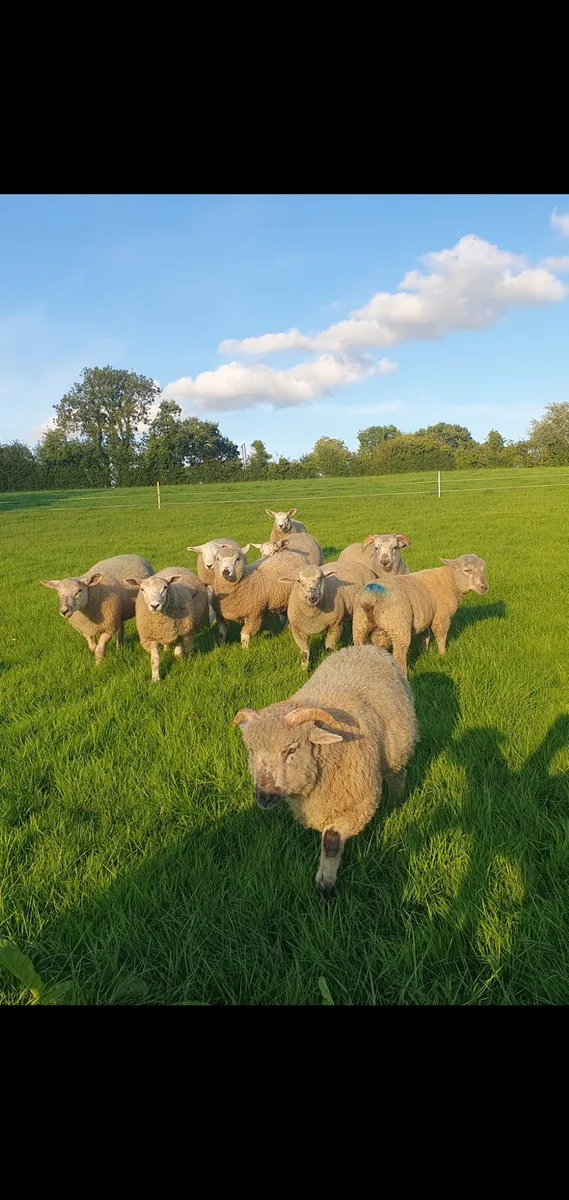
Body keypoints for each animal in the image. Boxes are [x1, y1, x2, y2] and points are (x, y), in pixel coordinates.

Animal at [233, 644, 417, 897]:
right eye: (251, 750)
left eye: (292, 749)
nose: (264, 797)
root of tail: (366, 647)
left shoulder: (354, 806)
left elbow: (331, 842)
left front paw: (325, 887)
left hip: (397, 748)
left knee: (397, 775)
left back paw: (395, 802)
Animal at [352, 554, 489, 676]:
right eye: (467, 570)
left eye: (484, 569)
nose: (485, 587)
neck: (451, 581)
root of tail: (369, 598)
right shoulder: (441, 618)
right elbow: (441, 637)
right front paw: (443, 654)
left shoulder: (426, 618)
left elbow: (425, 638)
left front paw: (424, 654)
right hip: (398, 627)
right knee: (399, 655)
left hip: (360, 627)